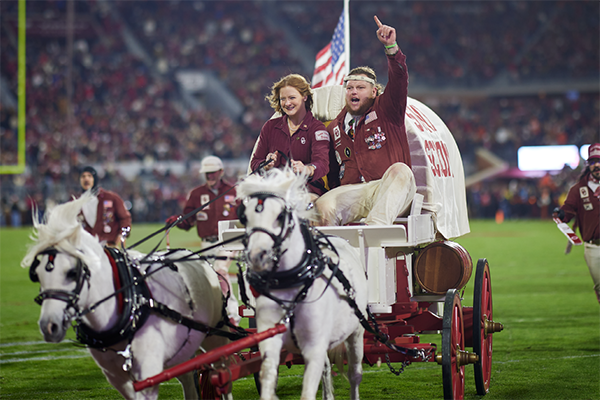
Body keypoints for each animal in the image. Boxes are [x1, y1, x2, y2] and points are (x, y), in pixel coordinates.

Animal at [20, 192, 230, 398]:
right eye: (36, 274)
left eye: (72, 273)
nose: (49, 326)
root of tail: (193, 255)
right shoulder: (115, 376)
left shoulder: (148, 370)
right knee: (188, 378)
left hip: (214, 336)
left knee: (223, 372)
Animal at [237, 168, 368, 400]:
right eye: (244, 216)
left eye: (280, 216)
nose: (257, 256)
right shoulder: (270, 342)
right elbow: (267, 381)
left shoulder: (314, 347)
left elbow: (308, 391)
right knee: (328, 369)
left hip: (356, 332)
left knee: (354, 374)